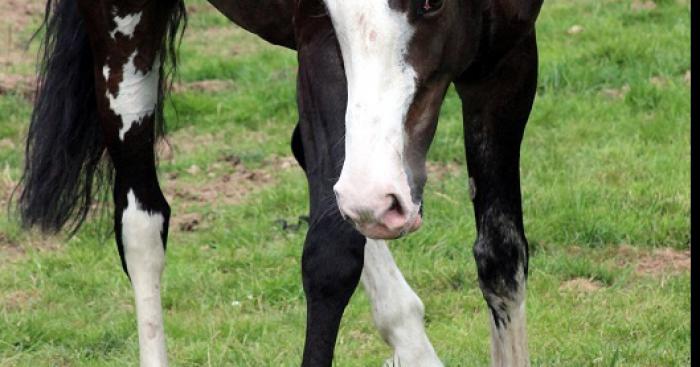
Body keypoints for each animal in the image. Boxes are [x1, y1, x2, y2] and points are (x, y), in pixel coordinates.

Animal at [15, 0, 540, 366]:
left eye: (431, 3)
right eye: (333, 13)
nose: (379, 198)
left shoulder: (506, 64)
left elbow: (501, 257)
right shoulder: (319, 48)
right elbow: (330, 258)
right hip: (123, 34)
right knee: (141, 225)